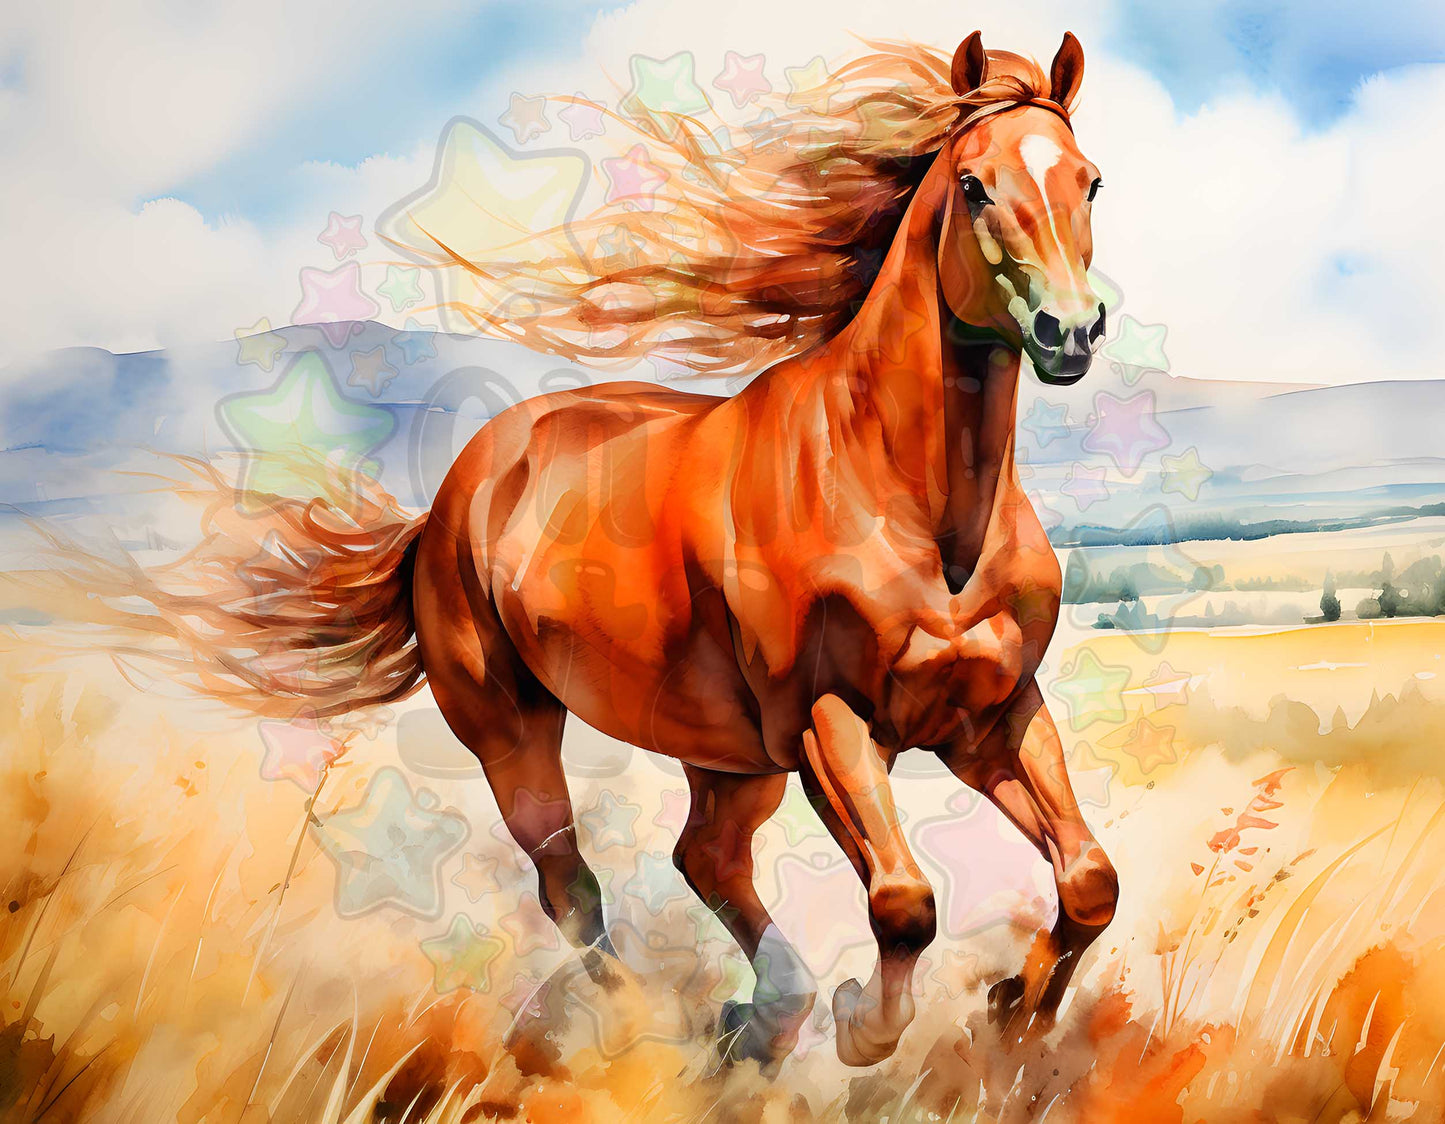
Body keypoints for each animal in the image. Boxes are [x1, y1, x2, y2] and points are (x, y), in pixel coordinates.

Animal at [57, 30, 1117, 1069]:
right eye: (974, 184)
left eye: (1089, 180)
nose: (1069, 330)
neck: (917, 506)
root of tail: (449, 500)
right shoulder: (830, 722)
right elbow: (902, 904)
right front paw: (867, 1024)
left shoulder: (993, 716)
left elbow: (1088, 881)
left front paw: (1014, 1008)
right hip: (514, 732)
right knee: (572, 885)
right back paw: (642, 1028)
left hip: (725, 754)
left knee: (704, 857)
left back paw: (759, 1018)